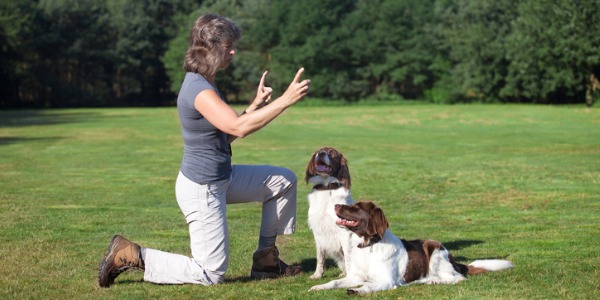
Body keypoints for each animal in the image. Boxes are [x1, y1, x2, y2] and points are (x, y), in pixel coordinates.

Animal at [308, 146, 354, 280]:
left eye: (332, 153)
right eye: (318, 151)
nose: (321, 153)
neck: (326, 187)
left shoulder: (344, 231)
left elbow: (348, 257)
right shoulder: (318, 232)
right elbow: (320, 256)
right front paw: (317, 274)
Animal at [312, 200, 512, 294]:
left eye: (356, 207)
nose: (335, 205)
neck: (369, 246)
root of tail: (453, 260)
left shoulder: (386, 280)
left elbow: (367, 286)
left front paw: (357, 290)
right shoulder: (355, 276)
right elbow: (335, 282)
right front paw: (319, 286)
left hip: (434, 248)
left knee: (457, 278)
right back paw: (430, 280)